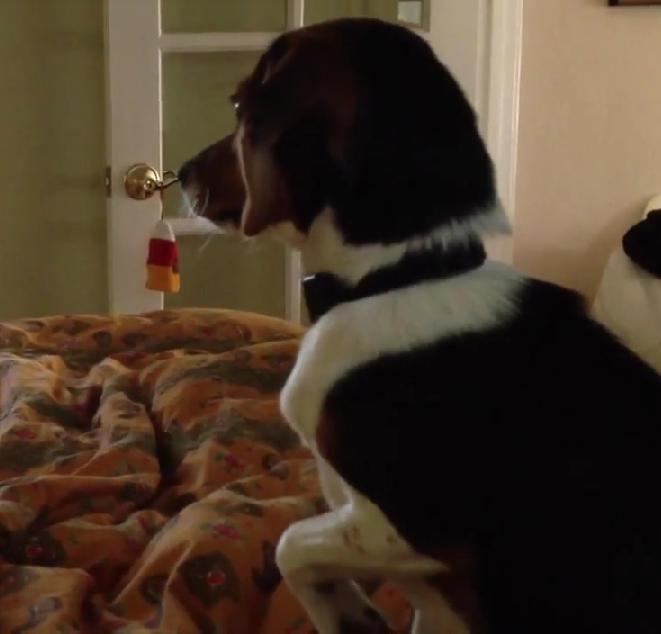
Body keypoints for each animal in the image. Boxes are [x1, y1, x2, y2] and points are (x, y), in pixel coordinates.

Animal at [179, 17, 661, 628]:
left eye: (239, 103)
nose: (180, 175)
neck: (404, 275)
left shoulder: (405, 533)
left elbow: (291, 544)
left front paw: (346, 615)